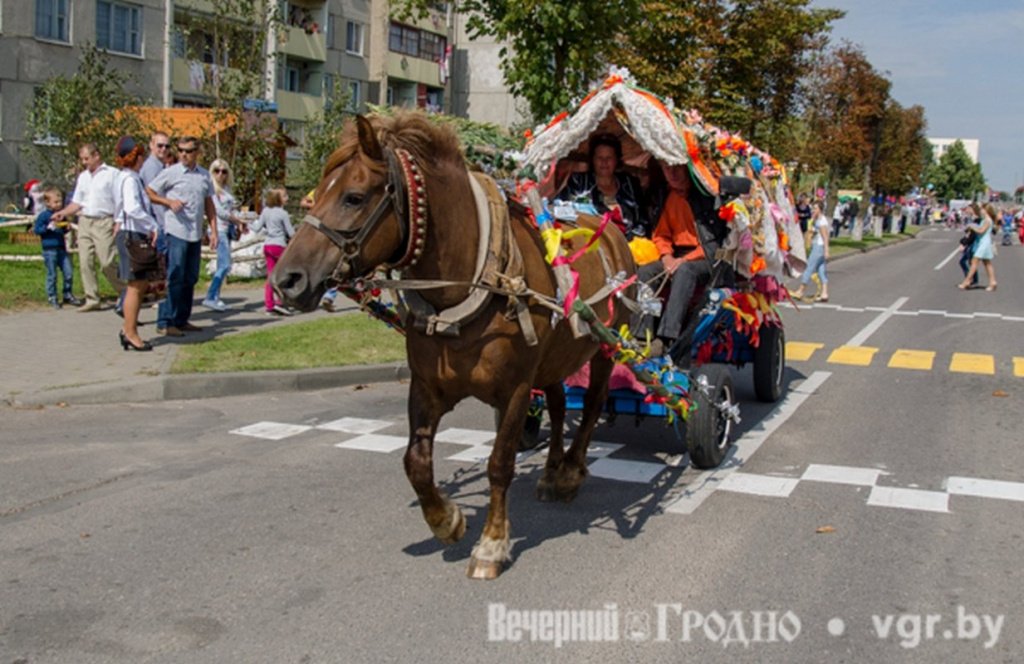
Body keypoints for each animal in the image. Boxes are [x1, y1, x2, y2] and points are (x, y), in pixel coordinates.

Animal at [276, 111, 634, 577]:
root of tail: (609, 229)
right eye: (315, 194)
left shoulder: (516, 389)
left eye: (353, 197)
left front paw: (492, 544)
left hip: (610, 345)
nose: (286, 280)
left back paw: (571, 470)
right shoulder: (427, 385)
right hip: (555, 356)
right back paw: (552, 470)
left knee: (591, 404)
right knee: (558, 404)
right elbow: (415, 462)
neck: (474, 280)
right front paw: (447, 521)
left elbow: (499, 463)